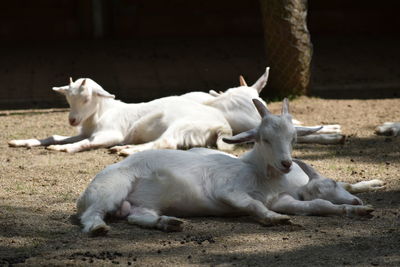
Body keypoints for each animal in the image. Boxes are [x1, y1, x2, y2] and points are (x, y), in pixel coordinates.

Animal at [7, 78, 233, 153]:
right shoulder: (85, 131)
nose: (72, 120)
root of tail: (223, 126)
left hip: (183, 125)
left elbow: (86, 143)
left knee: (166, 142)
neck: (102, 113)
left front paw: (63, 149)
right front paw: (20, 142)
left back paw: (125, 150)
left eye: (87, 98)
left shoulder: (110, 133)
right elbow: (54, 136)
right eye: (68, 99)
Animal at [76, 99, 382, 237]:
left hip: (142, 204)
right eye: (264, 138)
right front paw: (275, 219)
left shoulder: (282, 198)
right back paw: (98, 227)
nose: (286, 163)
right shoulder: (227, 191)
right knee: (93, 213)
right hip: (111, 189)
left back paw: (169, 222)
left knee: (138, 216)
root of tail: (84, 195)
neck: (257, 173)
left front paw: (359, 210)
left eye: (294, 138)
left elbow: (318, 206)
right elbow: (252, 205)